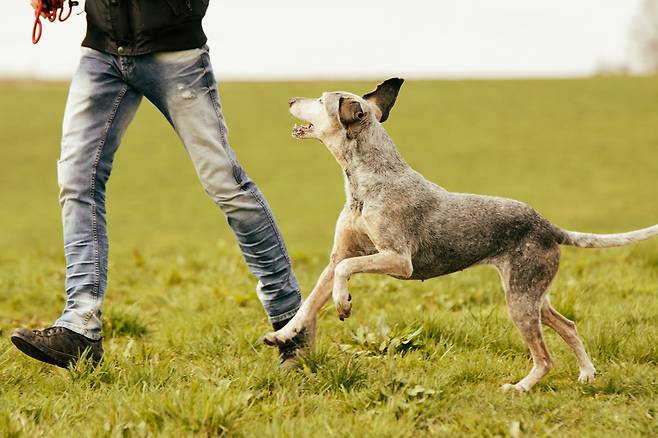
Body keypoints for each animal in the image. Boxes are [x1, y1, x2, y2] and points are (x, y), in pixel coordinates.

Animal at [262, 78, 656, 394]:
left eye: (321, 99)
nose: (290, 99)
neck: (365, 182)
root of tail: (547, 225)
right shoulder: (337, 258)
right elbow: (308, 304)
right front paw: (281, 335)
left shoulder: (397, 260)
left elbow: (347, 273)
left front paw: (343, 303)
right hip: (531, 294)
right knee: (569, 326)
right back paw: (587, 374)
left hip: (520, 300)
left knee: (545, 357)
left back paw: (520, 388)